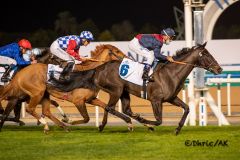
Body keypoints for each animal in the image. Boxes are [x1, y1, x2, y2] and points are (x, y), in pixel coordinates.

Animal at [0, 44, 129, 132]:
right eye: (117, 51)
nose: (126, 58)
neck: (90, 73)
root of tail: (20, 74)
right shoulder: (78, 100)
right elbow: (86, 118)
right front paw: (70, 121)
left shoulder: (91, 99)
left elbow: (107, 108)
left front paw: (127, 122)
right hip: (35, 93)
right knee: (28, 109)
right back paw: (46, 124)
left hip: (42, 94)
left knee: (45, 111)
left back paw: (61, 125)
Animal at [91, 42, 221, 134]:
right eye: (206, 54)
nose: (219, 69)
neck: (171, 73)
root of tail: (99, 68)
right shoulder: (156, 100)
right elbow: (159, 120)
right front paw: (147, 122)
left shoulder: (171, 98)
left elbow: (187, 108)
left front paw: (177, 129)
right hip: (116, 90)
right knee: (109, 107)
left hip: (124, 91)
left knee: (124, 109)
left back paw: (103, 125)